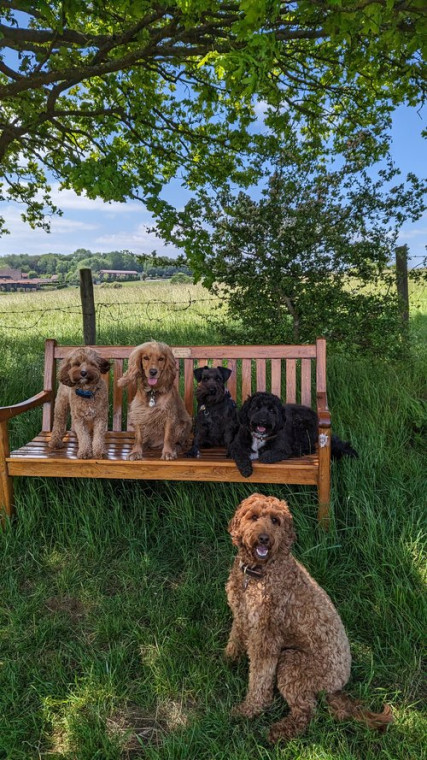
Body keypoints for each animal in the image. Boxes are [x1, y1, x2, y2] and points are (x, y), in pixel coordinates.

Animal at [225, 494, 393, 743]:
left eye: (275, 520)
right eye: (253, 517)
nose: (264, 538)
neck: (258, 573)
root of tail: (337, 686)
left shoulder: (266, 638)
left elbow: (260, 679)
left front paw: (250, 710)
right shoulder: (242, 615)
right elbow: (235, 636)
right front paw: (229, 659)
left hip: (292, 663)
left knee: (306, 711)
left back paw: (278, 732)